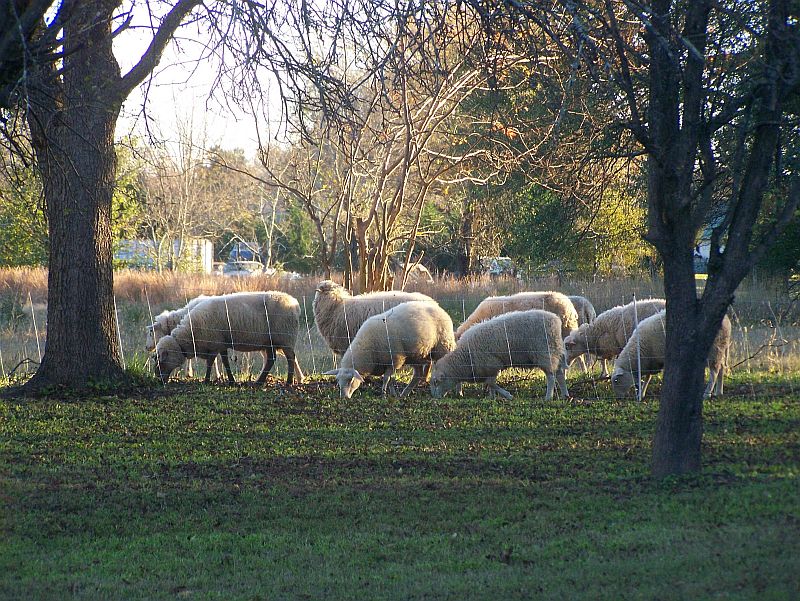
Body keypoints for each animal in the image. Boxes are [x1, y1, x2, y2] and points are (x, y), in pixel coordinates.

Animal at [155, 291, 304, 385]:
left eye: (162, 360)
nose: (158, 379)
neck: (190, 335)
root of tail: (295, 304)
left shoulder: (214, 343)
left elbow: (210, 362)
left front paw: (207, 380)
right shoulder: (221, 343)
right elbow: (225, 362)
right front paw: (231, 380)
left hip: (286, 338)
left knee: (291, 358)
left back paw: (289, 382)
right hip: (270, 341)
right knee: (271, 360)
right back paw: (259, 381)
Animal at [323, 300, 456, 399]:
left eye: (350, 381)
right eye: (338, 381)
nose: (344, 397)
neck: (368, 348)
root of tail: (440, 309)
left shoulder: (395, 360)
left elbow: (386, 379)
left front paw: (384, 393)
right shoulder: (390, 362)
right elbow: (391, 379)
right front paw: (392, 393)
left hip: (443, 346)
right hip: (416, 355)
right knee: (418, 375)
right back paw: (404, 394)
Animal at [430, 309, 568, 401]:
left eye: (436, 382)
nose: (435, 398)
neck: (465, 358)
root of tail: (555, 320)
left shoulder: (492, 364)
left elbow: (491, 383)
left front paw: (508, 395)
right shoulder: (488, 369)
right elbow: (490, 384)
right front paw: (492, 397)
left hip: (544, 353)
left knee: (551, 376)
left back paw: (548, 397)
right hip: (554, 350)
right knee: (560, 374)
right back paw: (565, 395)